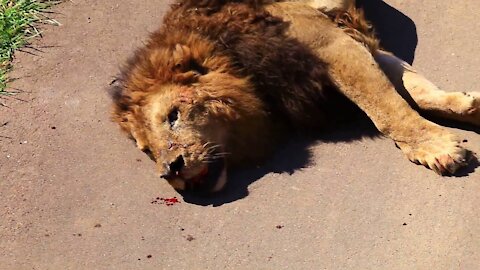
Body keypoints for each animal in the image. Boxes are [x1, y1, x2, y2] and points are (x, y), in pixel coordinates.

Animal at [109, 0, 480, 194]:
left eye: (173, 115)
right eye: (147, 150)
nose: (170, 170)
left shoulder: (326, 41)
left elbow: (387, 108)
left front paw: (436, 149)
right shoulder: (347, 42)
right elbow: (415, 93)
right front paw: (467, 106)